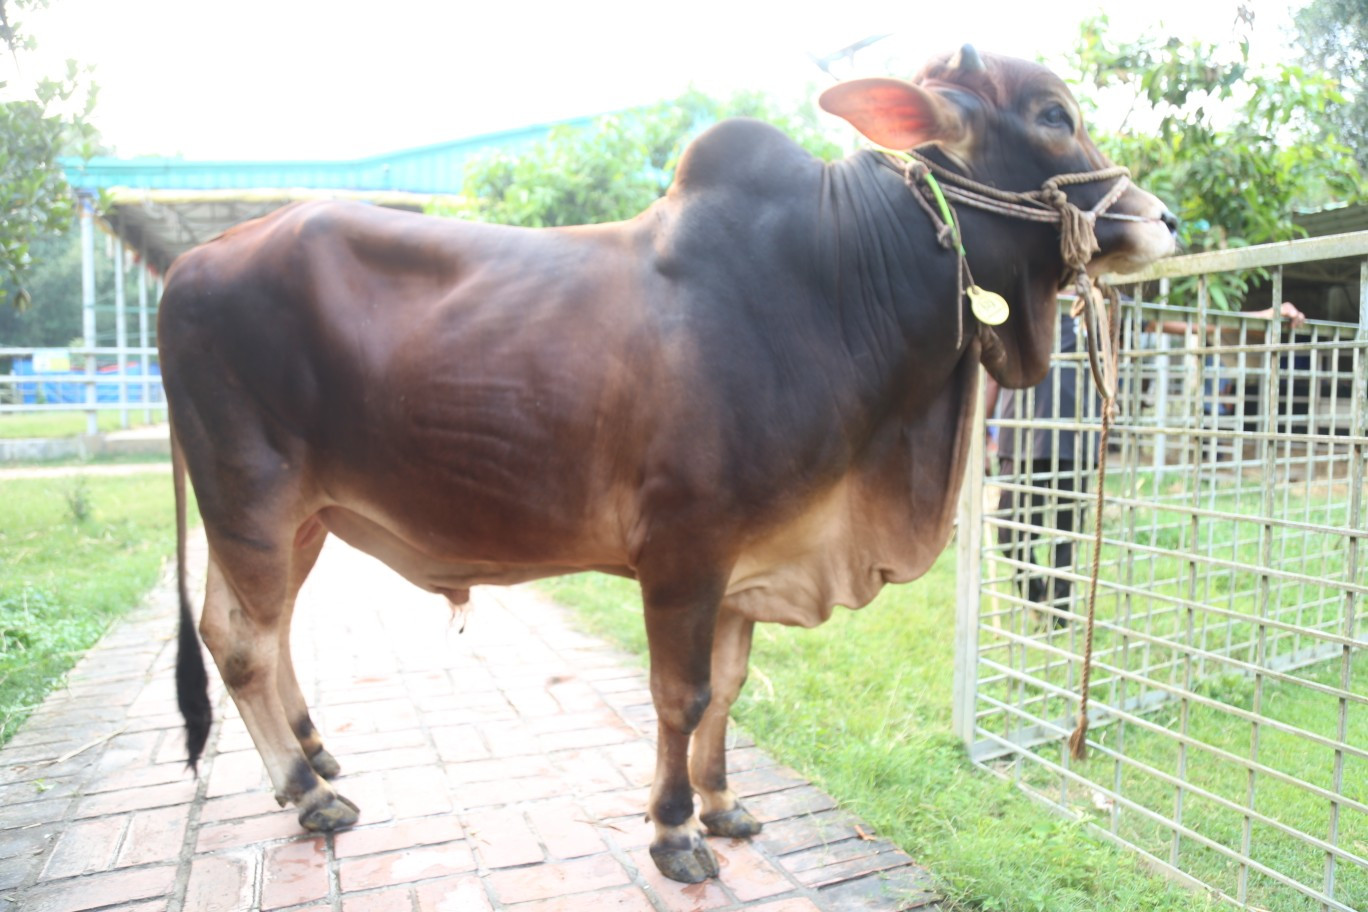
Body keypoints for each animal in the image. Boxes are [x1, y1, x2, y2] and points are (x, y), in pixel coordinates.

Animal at [161, 46, 1175, 884]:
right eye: (1053, 114)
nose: (1163, 218)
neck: (841, 279)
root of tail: (190, 262)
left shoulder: (748, 559)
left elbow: (729, 687)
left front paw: (725, 806)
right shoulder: (687, 549)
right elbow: (680, 696)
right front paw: (676, 830)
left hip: (301, 518)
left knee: (258, 630)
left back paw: (314, 753)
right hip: (251, 501)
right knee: (244, 642)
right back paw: (309, 791)